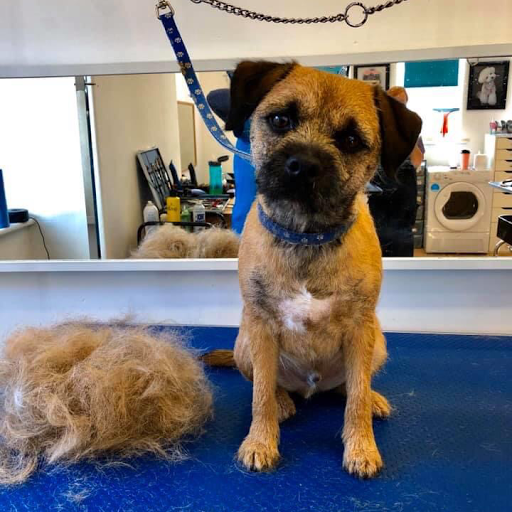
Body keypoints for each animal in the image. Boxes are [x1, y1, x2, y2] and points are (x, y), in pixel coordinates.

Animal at [208, 61, 421, 478]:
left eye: (351, 140)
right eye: (280, 119)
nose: (303, 165)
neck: (306, 236)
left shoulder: (360, 327)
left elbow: (355, 399)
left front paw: (361, 446)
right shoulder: (260, 325)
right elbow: (259, 395)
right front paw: (260, 442)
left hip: (378, 342)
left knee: (351, 386)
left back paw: (371, 398)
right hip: (244, 343)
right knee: (265, 383)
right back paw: (283, 401)